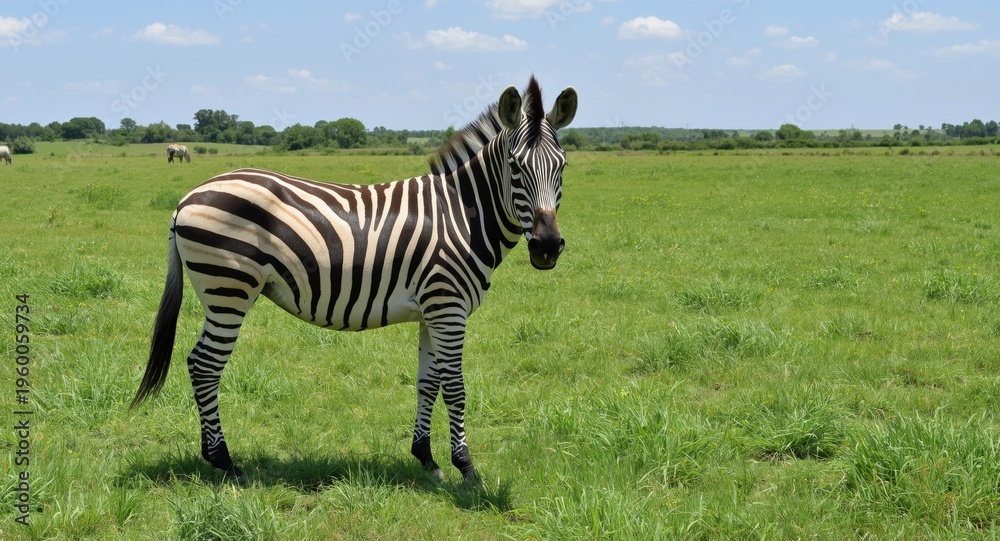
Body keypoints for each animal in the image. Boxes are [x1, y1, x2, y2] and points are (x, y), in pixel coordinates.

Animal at [130, 76, 578, 483]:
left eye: (563, 166)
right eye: (515, 167)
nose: (547, 247)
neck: (462, 216)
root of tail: (187, 198)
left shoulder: (432, 312)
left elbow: (427, 383)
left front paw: (426, 458)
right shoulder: (448, 307)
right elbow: (455, 387)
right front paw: (466, 469)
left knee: (200, 364)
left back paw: (214, 456)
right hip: (229, 289)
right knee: (204, 365)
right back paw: (224, 461)